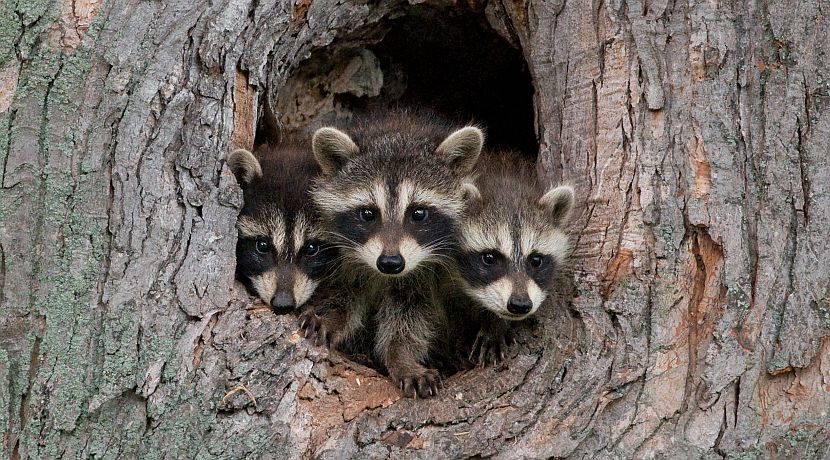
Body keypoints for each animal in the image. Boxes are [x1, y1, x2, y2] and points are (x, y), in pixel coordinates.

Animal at [304, 110, 483, 398]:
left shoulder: (424, 275)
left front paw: (401, 358)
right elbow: (344, 292)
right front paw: (332, 317)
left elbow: (409, 318)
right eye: (368, 213)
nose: (390, 262)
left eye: (418, 213)